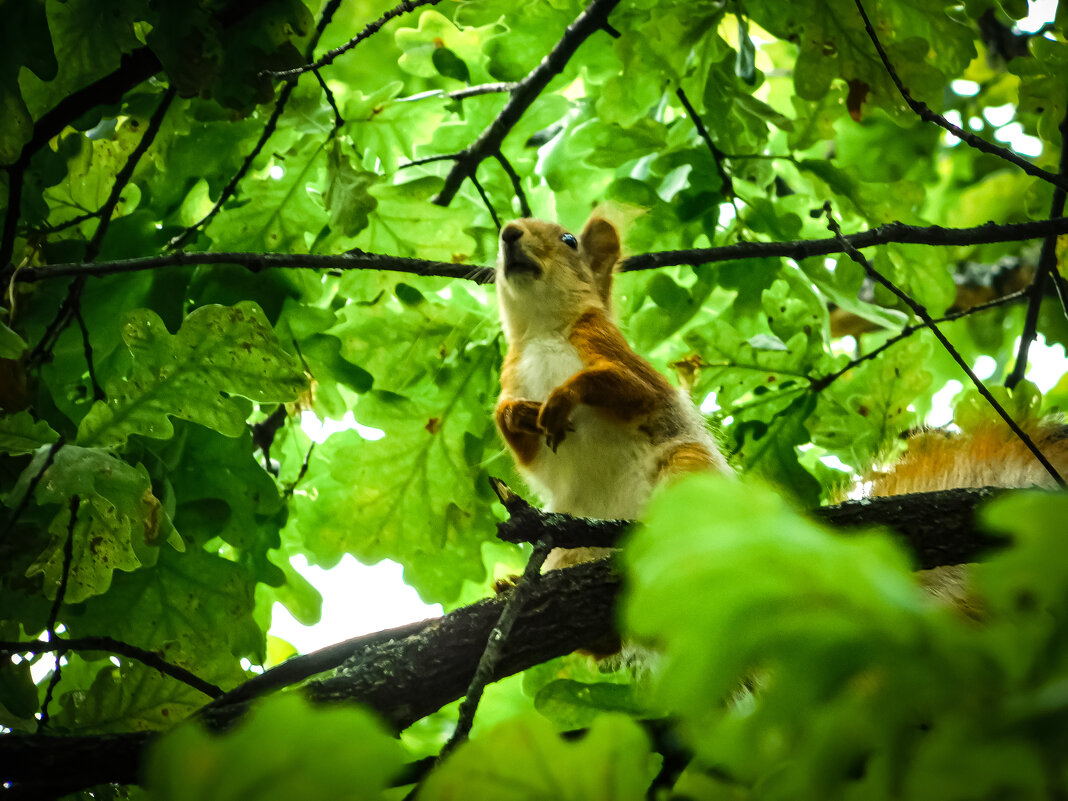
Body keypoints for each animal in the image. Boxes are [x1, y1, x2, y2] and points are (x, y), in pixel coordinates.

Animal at [491, 220, 726, 572]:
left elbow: (633, 387)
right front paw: (519, 414)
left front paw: (563, 397)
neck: (542, 330)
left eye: (569, 240)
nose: (509, 231)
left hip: (687, 465)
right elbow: (519, 443)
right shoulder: (512, 371)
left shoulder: (602, 339)